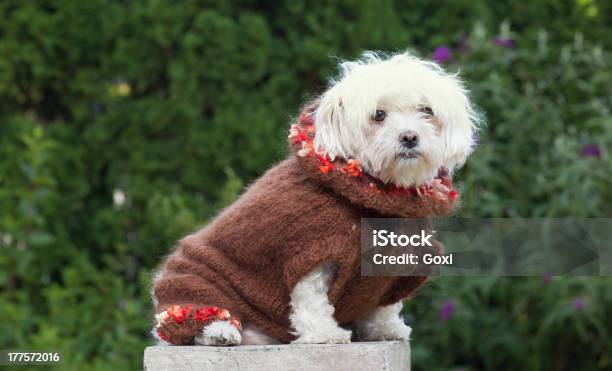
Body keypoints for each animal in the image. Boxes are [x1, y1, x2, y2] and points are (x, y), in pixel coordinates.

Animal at [151, 50, 476, 348]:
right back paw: (221, 332)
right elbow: (311, 301)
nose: (409, 137)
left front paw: (385, 329)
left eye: (426, 110)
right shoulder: (310, 254)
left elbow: (382, 308)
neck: (374, 196)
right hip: (197, 286)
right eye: (378, 115)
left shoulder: (390, 270)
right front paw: (324, 334)